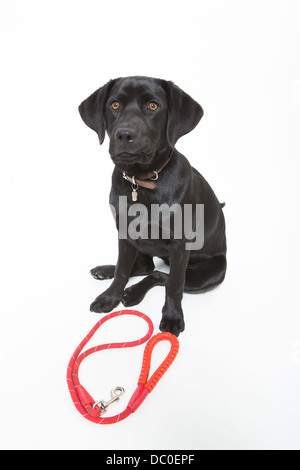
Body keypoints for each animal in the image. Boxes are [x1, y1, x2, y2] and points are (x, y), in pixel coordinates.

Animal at [78, 76, 226, 334]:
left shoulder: (180, 245)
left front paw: (173, 317)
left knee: (161, 275)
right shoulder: (125, 234)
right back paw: (107, 272)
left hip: (209, 275)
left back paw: (134, 292)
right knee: (143, 268)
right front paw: (110, 297)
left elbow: (174, 286)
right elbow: (122, 270)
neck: (142, 181)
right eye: (114, 105)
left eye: (153, 106)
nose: (124, 135)